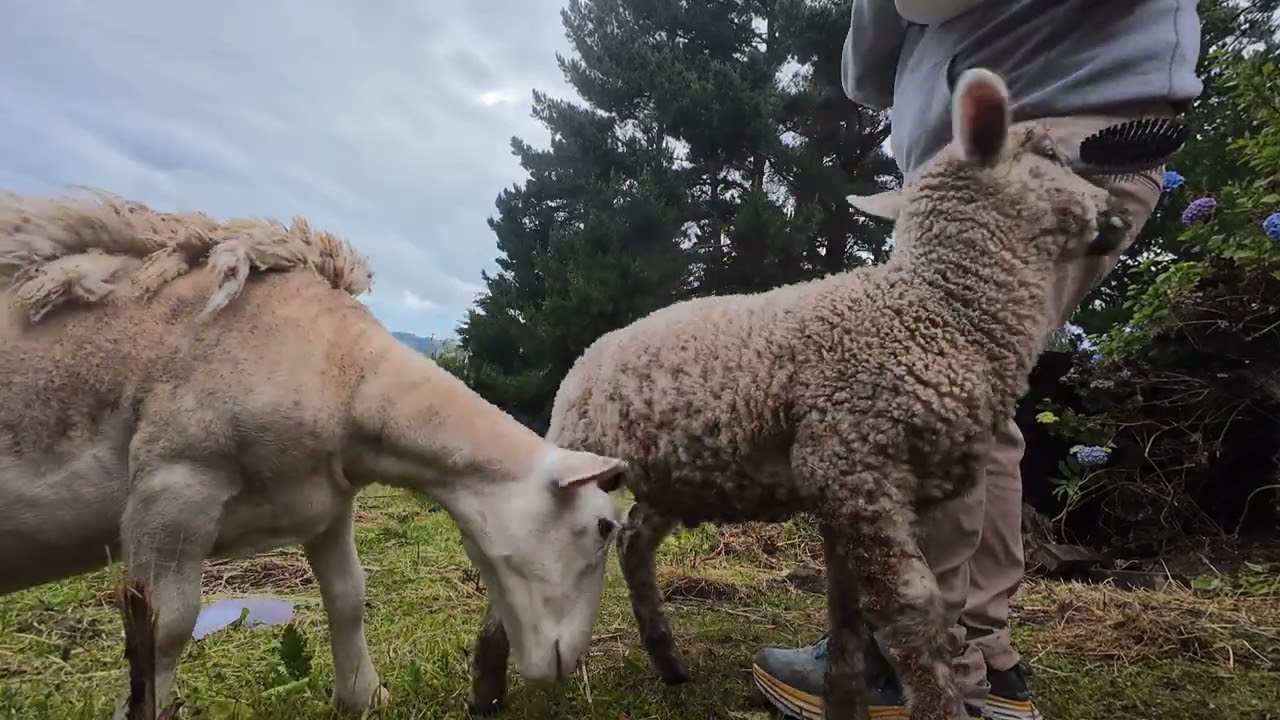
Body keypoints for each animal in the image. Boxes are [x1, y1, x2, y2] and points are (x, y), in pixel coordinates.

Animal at [0, 190, 629, 719]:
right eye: (603, 528)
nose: (570, 664)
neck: (344, 376)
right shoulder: (172, 488)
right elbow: (164, 630)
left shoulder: (324, 499)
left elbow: (348, 596)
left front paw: (361, 696)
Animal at [467, 68, 1140, 720]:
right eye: (1050, 153)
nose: (1116, 213)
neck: (941, 309)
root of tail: (590, 353)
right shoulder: (854, 463)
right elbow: (911, 611)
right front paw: (935, 703)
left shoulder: (848, 486)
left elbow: (847, 615)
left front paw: (843, 699)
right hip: (584, 452)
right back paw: (488, 688)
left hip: (676, 471)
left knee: (635, 538)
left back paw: (667, 660)